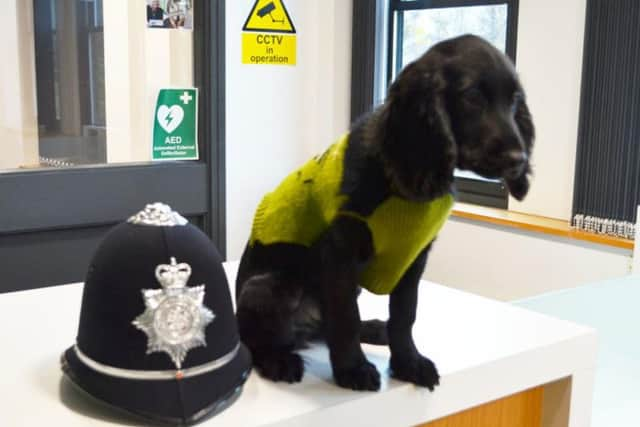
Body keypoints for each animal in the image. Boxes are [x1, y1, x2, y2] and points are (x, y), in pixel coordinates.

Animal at [235, 35, 536, 392]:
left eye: (515, 102)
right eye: (472, 96)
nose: (518, 159)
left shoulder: (413, 257)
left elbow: (404, 315)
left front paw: (408, 362)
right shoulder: (340, 254)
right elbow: (345, 317)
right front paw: (352, 369)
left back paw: (375, 328)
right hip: (268, 287)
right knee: (259, 341)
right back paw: (279, 360)